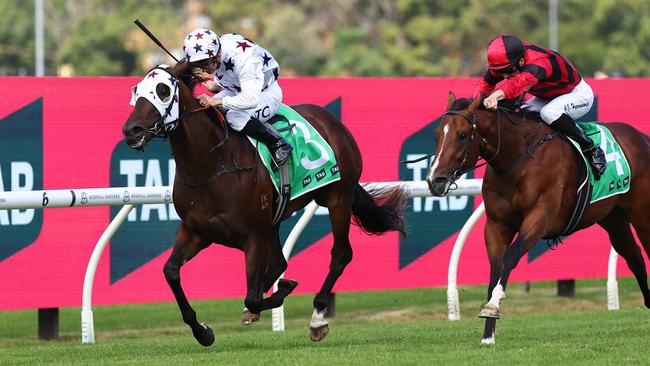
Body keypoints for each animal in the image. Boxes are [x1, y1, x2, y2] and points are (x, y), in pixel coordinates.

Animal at [121, 63, 404, 346]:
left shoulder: (253, 235)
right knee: (280, 262)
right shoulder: (196, 231)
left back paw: (317, 318)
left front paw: (284, 291)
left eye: (163, 91)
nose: (131, 130)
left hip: (338, 197)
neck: (213, 166)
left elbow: (253, 296)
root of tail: (332, 121)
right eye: (136, 90)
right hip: (275, 220)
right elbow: (171, 271)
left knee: (341, 254)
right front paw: (202, 331)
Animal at [426, 93, 648, 344]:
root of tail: (643, 137)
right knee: (635, 258)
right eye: (437, 134)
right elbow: (496, 268)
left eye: (463, 135)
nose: (435, 180)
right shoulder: (496, 226)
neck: (518, 157)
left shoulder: (539, 218)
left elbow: (510, 257)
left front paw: (492, 306)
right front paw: (488, 335)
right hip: (614, 219)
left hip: (642, 214)